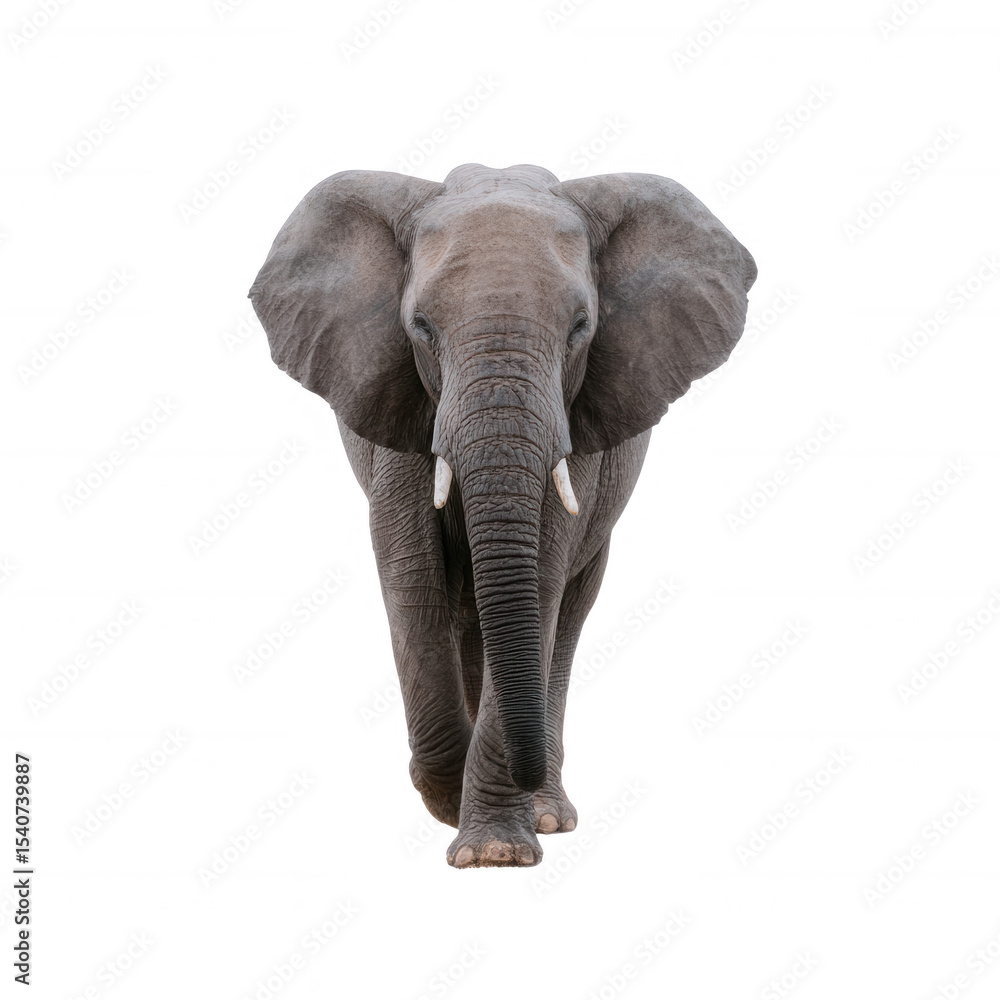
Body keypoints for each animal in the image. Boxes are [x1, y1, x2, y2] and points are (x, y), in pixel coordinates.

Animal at [249, 163, 756, 868]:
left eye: (581, 327)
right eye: (421, 327)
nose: (525, 771)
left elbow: (540, 575)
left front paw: (493, 851)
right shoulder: (401, 403)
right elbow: (408, 569)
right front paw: (449, 804)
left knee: (567, 612)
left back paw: (545, 811)